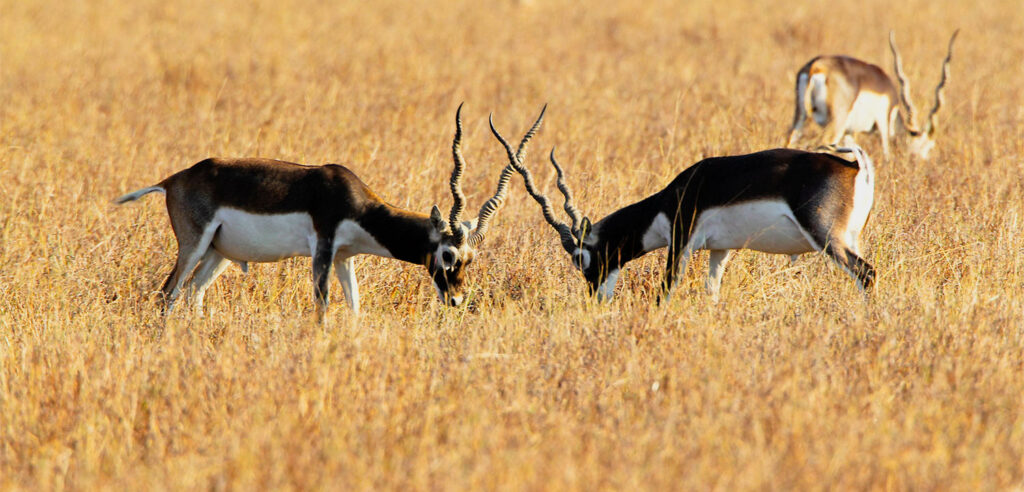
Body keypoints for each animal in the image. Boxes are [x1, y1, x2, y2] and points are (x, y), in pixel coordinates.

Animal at [114, 104, 544, 320]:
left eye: (472, 259)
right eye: (449, 254)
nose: (456, 300)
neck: (355, 203)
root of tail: (176, 178)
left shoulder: (344, 258)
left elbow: (354, 308)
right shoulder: (322, 250)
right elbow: (321, 309)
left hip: (218, 254)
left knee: (192, 295)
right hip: (194, 245)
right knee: (167, 294)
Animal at [492, 114, 876, 301]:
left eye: (581, 259)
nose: (595, 298)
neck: (673, 196)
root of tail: (853, 167)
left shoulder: (680, 241)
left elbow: (666, 289)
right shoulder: (721, 250)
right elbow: (712, 292)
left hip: (826, 237)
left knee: (866, 273)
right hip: (850, 238)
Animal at [786, 30, 959, 159]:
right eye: (929, 146)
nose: (920, 163)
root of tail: (816, 67)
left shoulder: (850, 132)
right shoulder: (883, 124)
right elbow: (886, 153)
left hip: (800, 117)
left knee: (790, 140)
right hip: (836, 123)